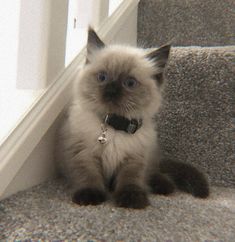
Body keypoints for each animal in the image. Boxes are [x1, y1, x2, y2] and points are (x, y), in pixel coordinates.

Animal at [56, 27, 209, 208]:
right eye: (102, 77)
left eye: (129, 83)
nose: (111, 91)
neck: (114, 126)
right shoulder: (83, 154)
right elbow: (88, 176)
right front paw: (89, 197)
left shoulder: (134, 159)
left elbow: (130, 181)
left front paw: (132, 200)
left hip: (150, 154)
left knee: (153, 172)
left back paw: (163, 185)